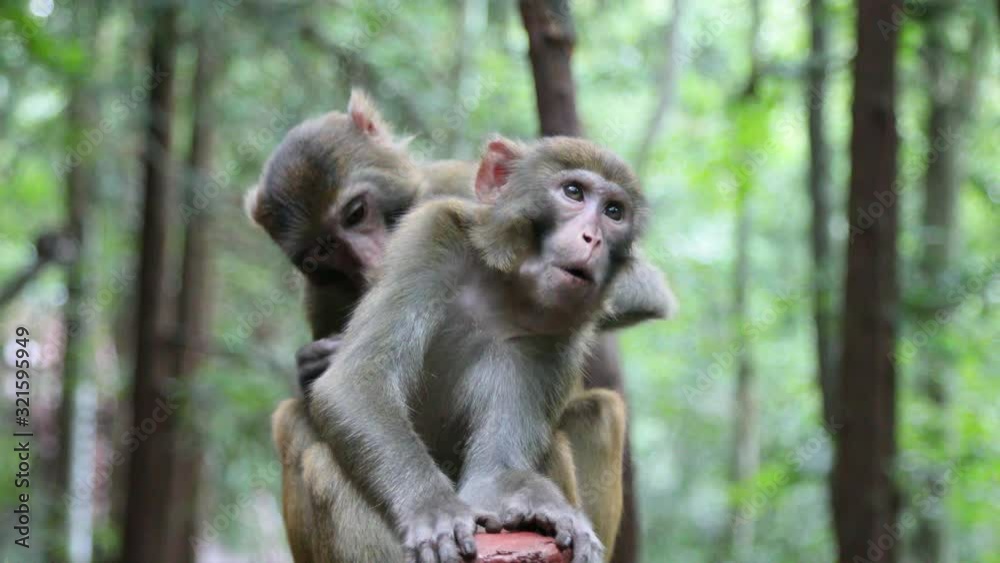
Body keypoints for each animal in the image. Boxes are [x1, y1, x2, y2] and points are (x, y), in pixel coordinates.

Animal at [300, 135, 648, 563]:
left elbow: (494, 477)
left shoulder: (559, 333)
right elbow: (355, 382)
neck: (503, 289)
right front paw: (432, 507)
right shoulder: (431, 236)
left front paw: (539, 503)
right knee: (324, 466)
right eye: (573, 192)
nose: (593, 238)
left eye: (614, 212)